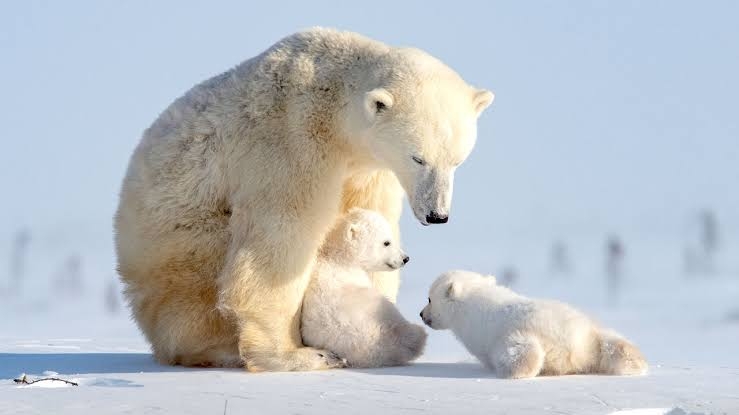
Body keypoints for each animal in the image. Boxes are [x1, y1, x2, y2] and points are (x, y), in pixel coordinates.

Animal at [420, 270, 648, 378]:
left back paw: (513, 371)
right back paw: (636, 362)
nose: (421, 314)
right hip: (592, 333)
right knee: (612, 342)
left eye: (429, 299)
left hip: (521, 336)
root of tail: (574, 347)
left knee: (523, 352)